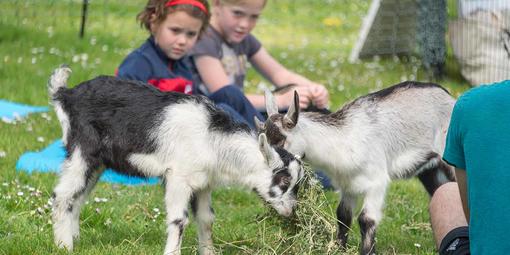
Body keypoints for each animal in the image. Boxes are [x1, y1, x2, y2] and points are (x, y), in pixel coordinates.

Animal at [47, 66, 302, 255]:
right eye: (283, 182)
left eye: (297, 186)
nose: (292, 211)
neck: (212, 138)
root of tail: (66, 94)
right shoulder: (179, 178)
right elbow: (179, 219)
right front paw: (173, 252)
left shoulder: (203, 183)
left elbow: (206, 219)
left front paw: (208, 252)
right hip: (82, 150)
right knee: (63, 195)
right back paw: (64, 246)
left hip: (98, 163)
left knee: (79, 196)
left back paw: (74, 238)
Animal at [256, 82, 456, 255]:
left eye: (280, 140)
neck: (345, 139)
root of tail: (450, 97)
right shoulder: (348, 185)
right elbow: (343, 216)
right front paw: (339, 248)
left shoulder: (377, 182)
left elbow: (366, 219)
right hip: (430, 169)